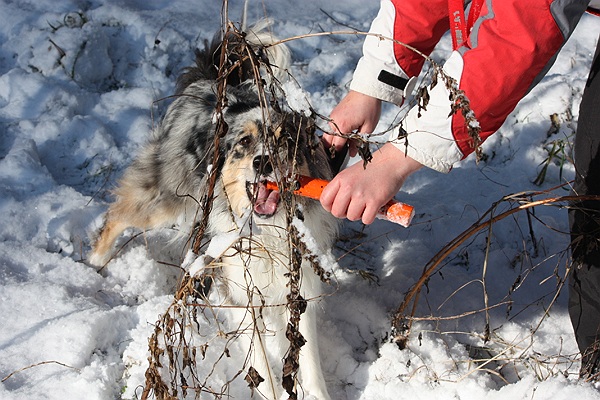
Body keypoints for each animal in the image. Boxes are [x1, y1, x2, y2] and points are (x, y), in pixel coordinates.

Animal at [90, 21, 342, 400]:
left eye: (284, 141)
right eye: (244, 142)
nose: (263, 162)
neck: (264, 232)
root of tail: (208, 80)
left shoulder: (298, 289)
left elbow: (308, 362)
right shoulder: (238, 294)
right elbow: (262, 367)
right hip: (167, 196)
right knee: (119, 211)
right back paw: (95, 261)